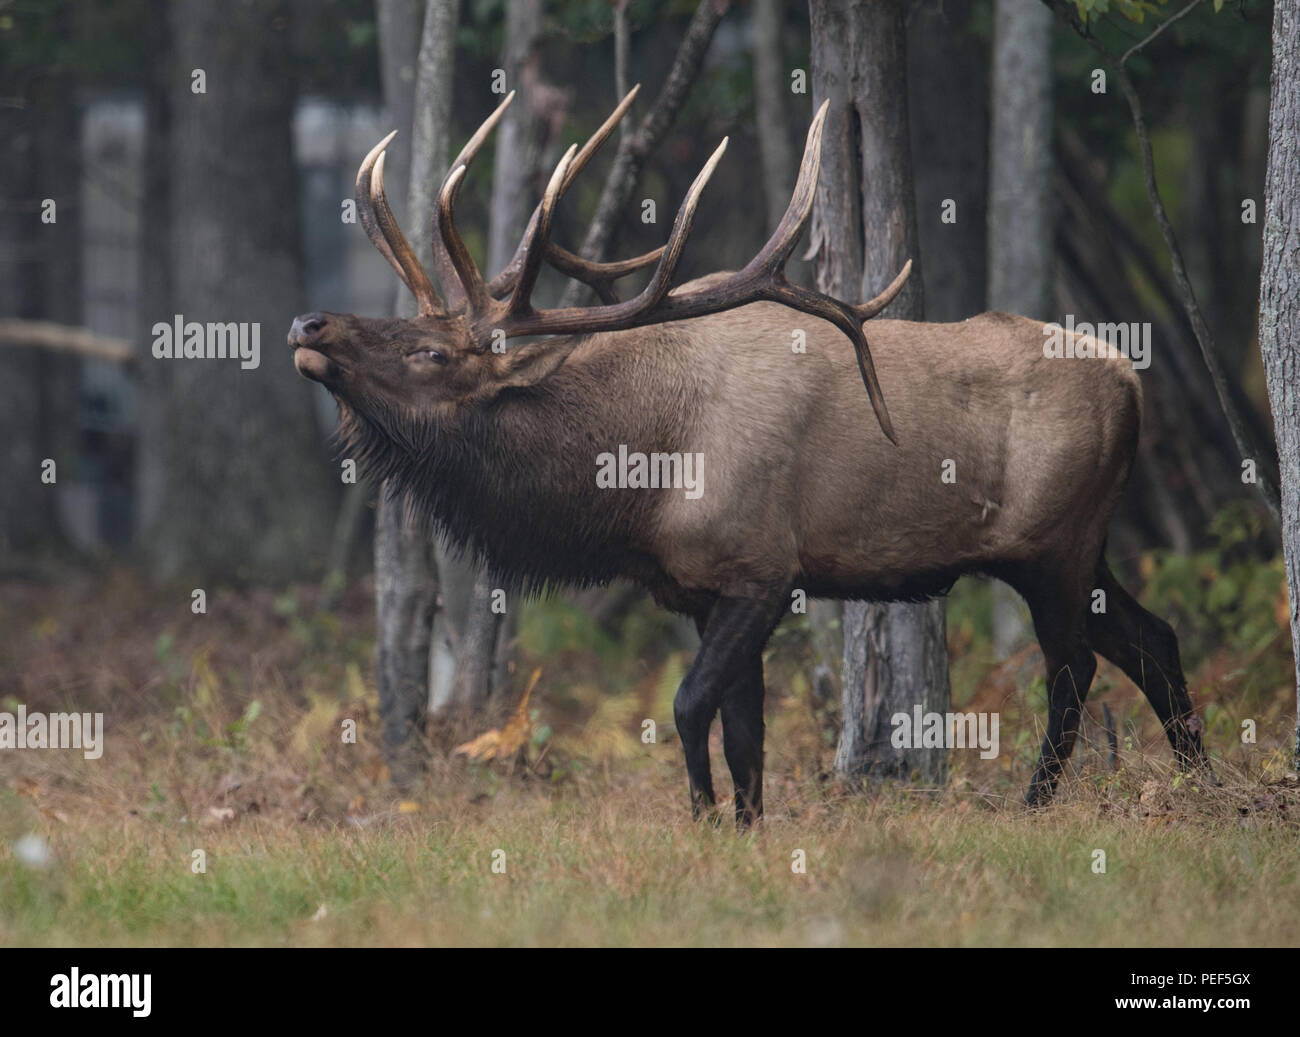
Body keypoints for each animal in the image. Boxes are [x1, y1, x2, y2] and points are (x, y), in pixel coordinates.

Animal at [288, 88, 1213, 825]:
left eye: (431, 352)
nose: (308, 323)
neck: (636, 482)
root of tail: (1132, 382)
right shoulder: (702, 588)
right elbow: (747, 731)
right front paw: (746, 826)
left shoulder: (761, 568)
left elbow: (690, 705)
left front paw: (704, 821)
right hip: (1076, 549)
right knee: (1155, 638)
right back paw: (1201, 785)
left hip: (1054, 543)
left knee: (1075, 665)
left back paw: (1035, 803)